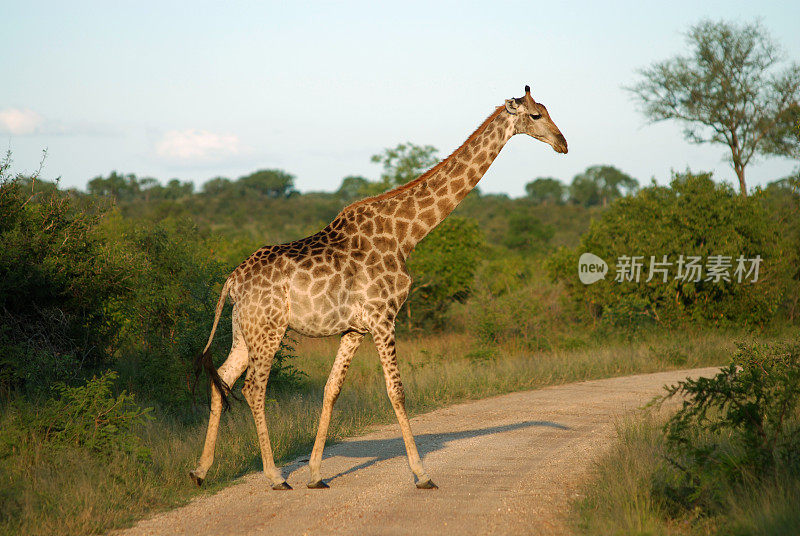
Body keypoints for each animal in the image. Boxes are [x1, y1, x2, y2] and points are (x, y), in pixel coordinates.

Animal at [191, 85, 568, 490]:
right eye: (535, 116)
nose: (563, 143)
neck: (406, 235)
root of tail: (232, 280)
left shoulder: (355, 328)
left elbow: (332, 389)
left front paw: (316, 474)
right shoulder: (384, 317)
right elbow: (396, 391)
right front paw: (422, 474)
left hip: (244, 329)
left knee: (223, 378)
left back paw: (200, 471)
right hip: (269, 327)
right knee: (253, 387)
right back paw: (275, 476)